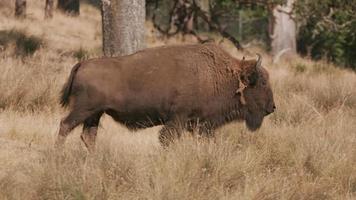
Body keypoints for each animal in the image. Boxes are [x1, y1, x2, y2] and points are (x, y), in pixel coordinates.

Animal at [55, 43, 276, 150]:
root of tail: (82, 64)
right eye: (262, 82)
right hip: (84, 110)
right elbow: (167, 140)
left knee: (88, 136)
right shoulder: (178, 119)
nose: (272, 107)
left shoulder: (201, 125)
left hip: (95, 114)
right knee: (65, 125)